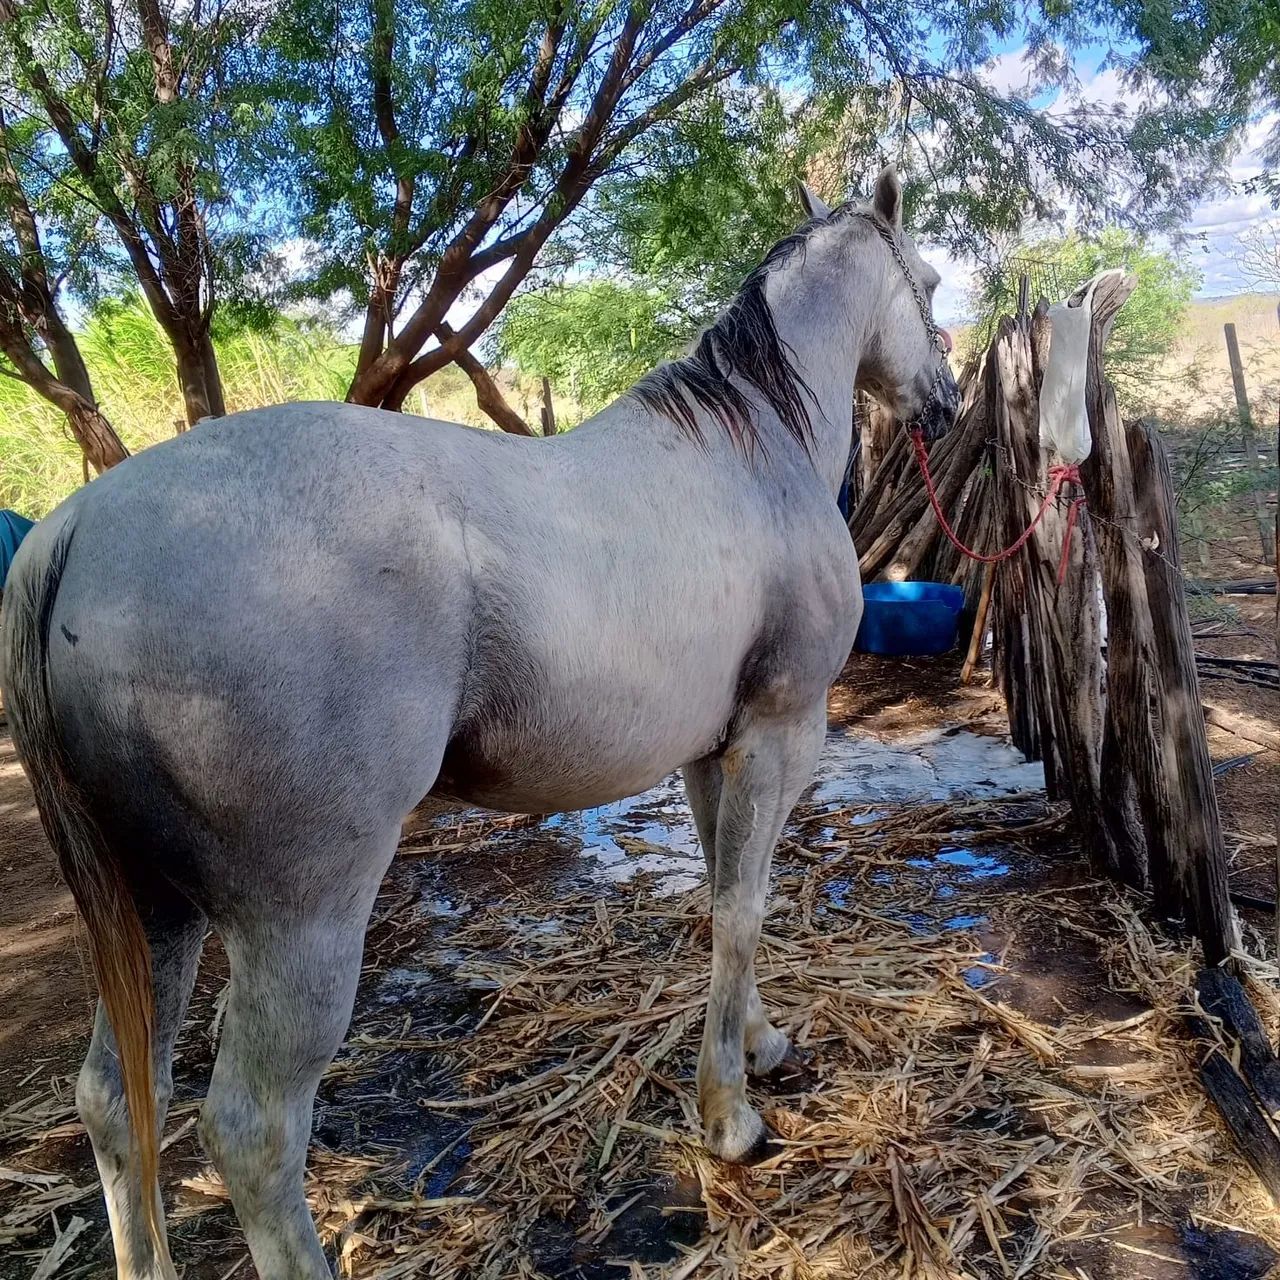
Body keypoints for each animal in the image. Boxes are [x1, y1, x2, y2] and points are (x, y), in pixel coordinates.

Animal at [1, 166, 959, 1280]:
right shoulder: (779, 732)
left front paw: (756, 1045)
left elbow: (726, 895)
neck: (753, 447)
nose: (946, 396)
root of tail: (75, 529)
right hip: (297, 924)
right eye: (932, 280)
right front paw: (729, 1115)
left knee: (117, 1100)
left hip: (153, 907)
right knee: (251, 1132)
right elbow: (743, 907)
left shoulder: (709, 754)